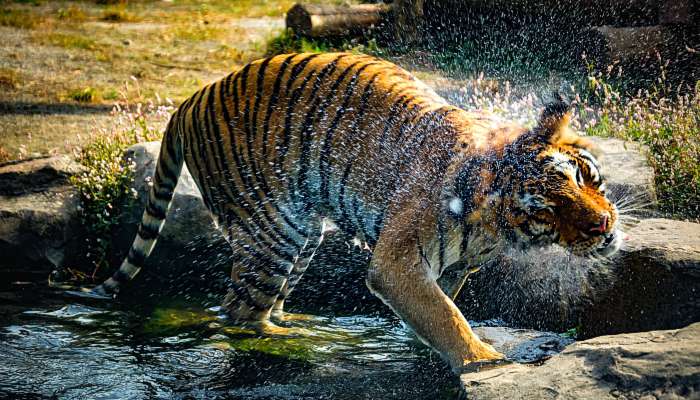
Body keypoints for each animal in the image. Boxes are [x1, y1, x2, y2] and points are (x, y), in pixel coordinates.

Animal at [89, 52, 624, 372]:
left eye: (581, 177)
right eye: (547, 210)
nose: (603, 225)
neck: (496, 229)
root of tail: (189, 99)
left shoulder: (451, 268)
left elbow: (438, 308)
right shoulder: (396, 261)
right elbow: (445, 316)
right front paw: (484, 362)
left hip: (301, 233)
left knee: (260, 303)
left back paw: (300, 325)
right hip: (272, 232)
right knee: (239, 315)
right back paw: (296, 344)